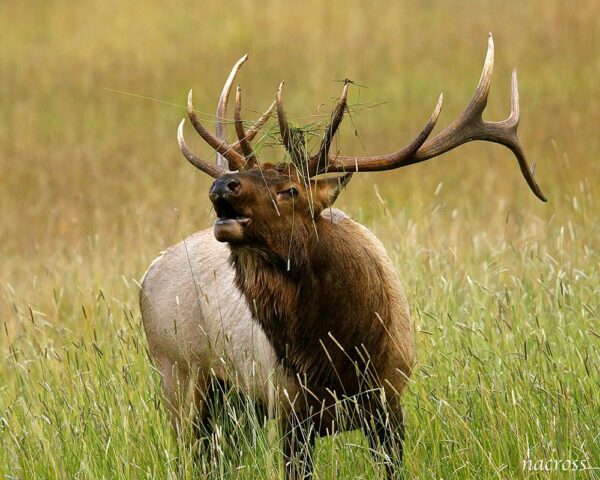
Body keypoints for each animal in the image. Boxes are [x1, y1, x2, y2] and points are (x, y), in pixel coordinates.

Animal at [139, 32, 544, 476]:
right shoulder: (289, 408)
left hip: (233, 405)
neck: (339, 356)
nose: (222, 186)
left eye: (291, 190)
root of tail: (148, 275)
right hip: (180, 378)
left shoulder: (389, 398)